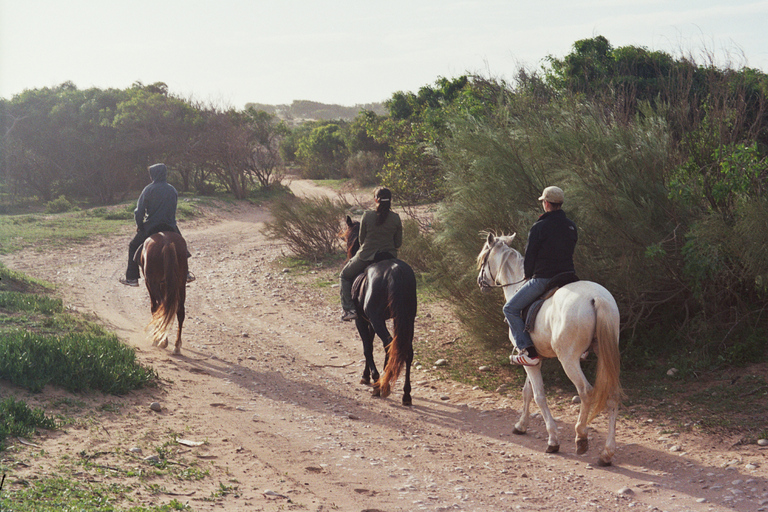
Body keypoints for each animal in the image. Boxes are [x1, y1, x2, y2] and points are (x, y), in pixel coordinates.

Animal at [342, 215, 416, 404]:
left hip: (378, 319)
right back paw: (405, 394)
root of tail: (395, 271)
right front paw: (367, 376)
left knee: (389, 344)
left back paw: (382, 384)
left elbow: (367, 347)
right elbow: (369, 342)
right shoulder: (370, 321)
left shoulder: (361, 320)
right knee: (405, 349)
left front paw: (373, 377)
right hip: (406, 319)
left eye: (345, 237)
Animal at [476, 234, 620, 466]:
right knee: (613, 395)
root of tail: (596, 298)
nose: (481, 283)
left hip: (569, 360)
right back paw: (607, 453)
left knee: (586, 392)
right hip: (606, 354)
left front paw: (553, 440)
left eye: (483, 259)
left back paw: (581, 436)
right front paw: (521, 426)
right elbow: (527, 392)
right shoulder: (533, 358)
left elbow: (539, 396)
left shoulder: (530, 360)